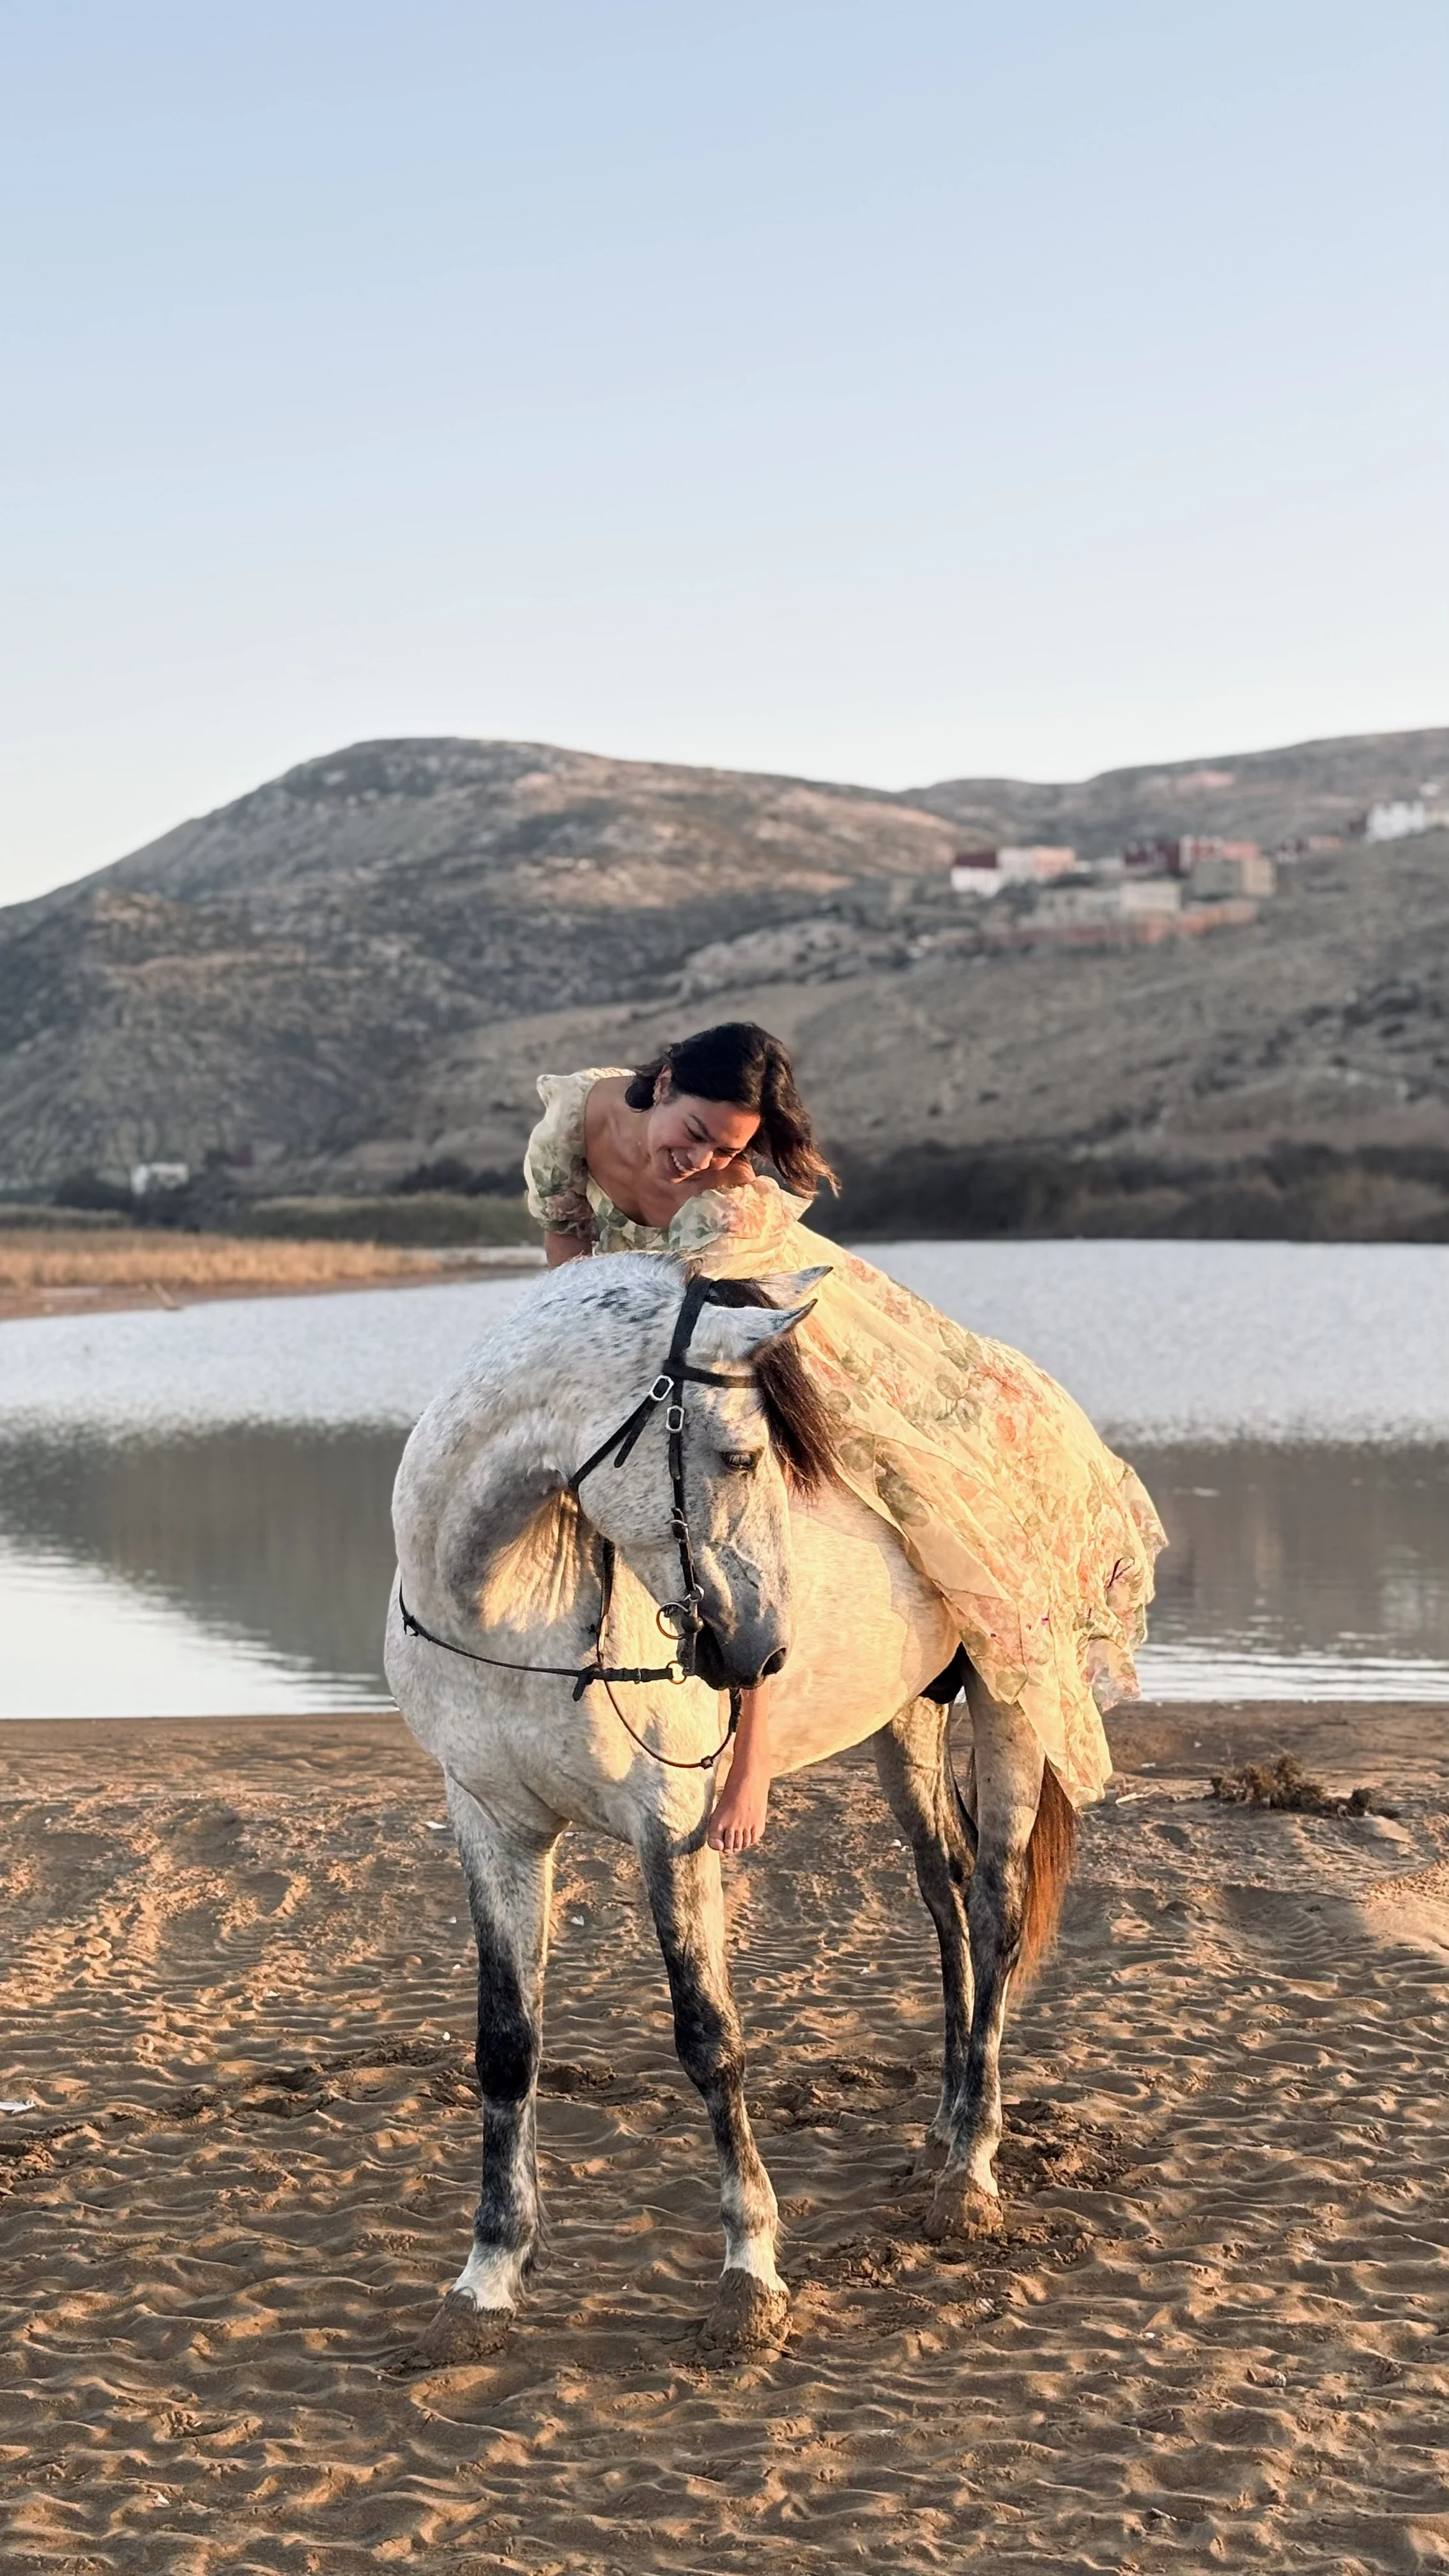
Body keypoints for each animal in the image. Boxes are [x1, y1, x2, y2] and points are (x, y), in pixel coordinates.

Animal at [385, 1253, 1077, 2360]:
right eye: (742, 1456)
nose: (761, 1653)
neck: (507, 1613)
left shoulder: (672, 1830)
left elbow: (710, 2041)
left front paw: (750, 2272)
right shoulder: (493, 1825)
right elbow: (506, 2047)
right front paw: (487, 2277)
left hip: (1013, 1713)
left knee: (998, 1914)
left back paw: (971, 2173)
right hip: (903, 1733)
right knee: (947, 1900)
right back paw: (942, 2128)